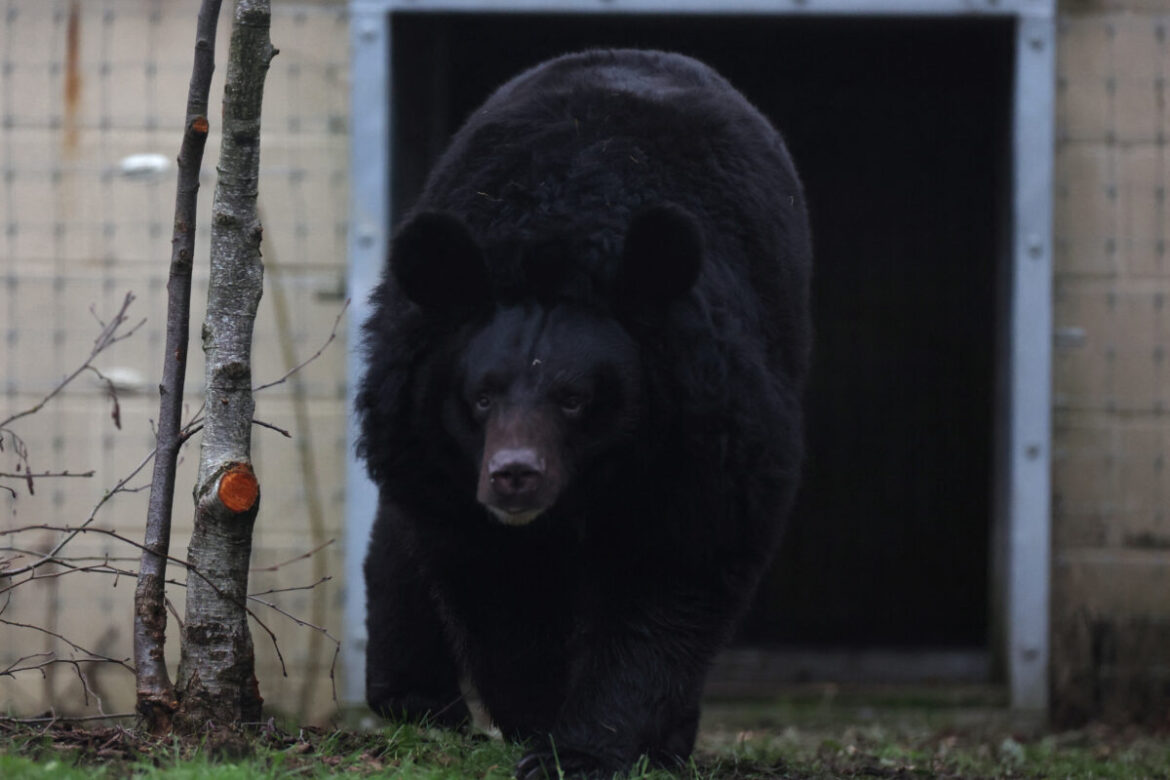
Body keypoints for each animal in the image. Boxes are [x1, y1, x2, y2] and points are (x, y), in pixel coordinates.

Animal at [358, 50, 814, 780]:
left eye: (574, 399)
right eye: (481, 395)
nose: (514, 475)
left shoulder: (708, 438)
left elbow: (672, 577)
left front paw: (579, 748)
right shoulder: (437, 456)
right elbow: (497, 584)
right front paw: (537, 720)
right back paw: (418, 701)